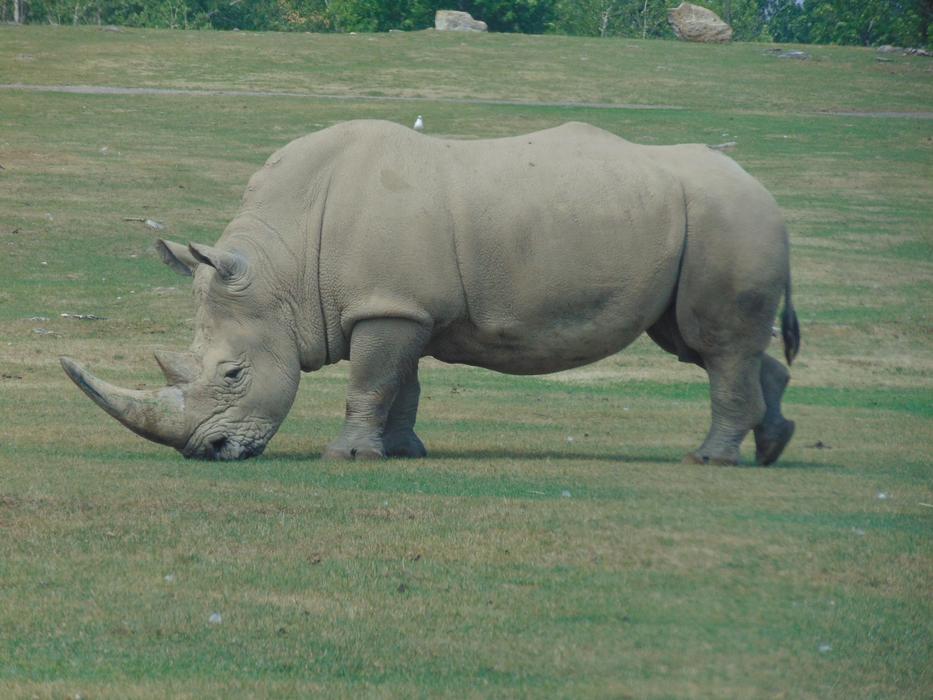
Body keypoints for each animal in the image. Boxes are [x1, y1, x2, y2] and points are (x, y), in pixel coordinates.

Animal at [61, 120, 800, 466]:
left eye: (234, 374)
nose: (206, 451)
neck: (282, 270)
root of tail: (769, 196)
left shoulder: (387, 306)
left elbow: (372, 381)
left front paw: (346, 456)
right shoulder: (398, 304)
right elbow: (402, 383)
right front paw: (400, 452)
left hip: (728, 219)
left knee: (715, 344)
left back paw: (709, 459)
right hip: (703, 224)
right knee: (699, 343)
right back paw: (769, 447)